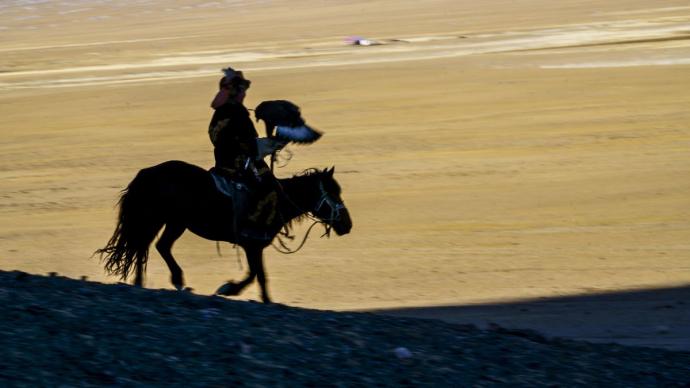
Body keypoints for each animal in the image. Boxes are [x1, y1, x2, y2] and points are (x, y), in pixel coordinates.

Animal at [94, 161, 352, 304]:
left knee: (150, 246)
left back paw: (145, 282)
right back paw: (174, 281)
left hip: (171, 222)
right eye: (334, 193)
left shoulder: (255, 247)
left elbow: (259, 275)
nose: (347, 224)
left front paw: (262, 299)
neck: (277, 200)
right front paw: (228, 289)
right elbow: (256, 274)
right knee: (150, 246)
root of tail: (147, 173)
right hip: (165, 220)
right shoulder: (251, 244)